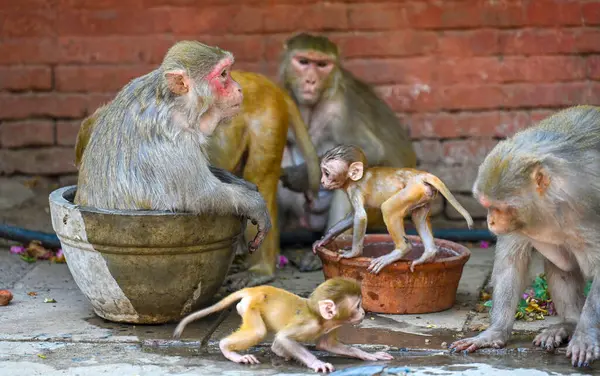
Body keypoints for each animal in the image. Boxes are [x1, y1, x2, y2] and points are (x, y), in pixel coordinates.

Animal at [172, 276, 394, 374]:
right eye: (357, 306)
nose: (363, 313)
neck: (320, 317)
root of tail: (254, 289)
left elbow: (327, 345)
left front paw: (368, 355)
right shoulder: (309, 324)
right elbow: (284, 338)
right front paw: (317, 363)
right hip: (251, 305)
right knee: (259, 331)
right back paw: (228, 350)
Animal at [310, 145, 474, 274]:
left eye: (327, 173)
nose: (322, 181)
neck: (354, 178)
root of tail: (421, 175)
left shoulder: (354, 190)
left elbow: (361, 216)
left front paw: (353, 254)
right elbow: (353, 216)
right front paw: (326, 238)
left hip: (412, 190)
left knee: (388, 208)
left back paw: (402, 250)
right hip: (423, 194)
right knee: (418, 217)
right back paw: (429, 254)